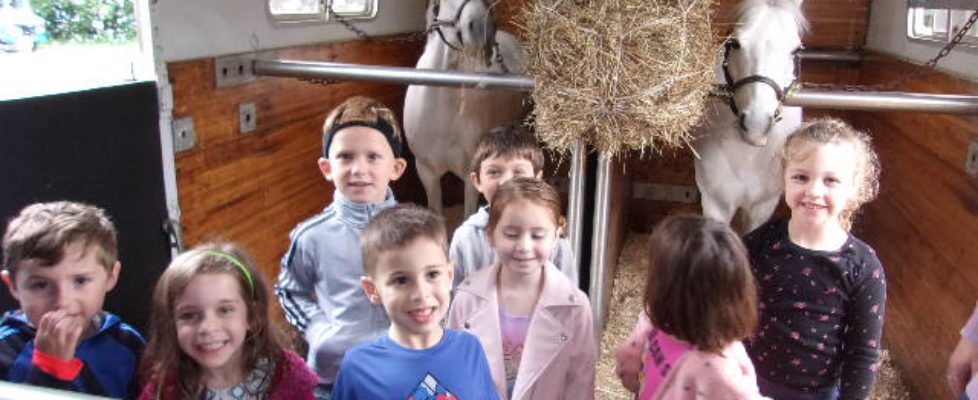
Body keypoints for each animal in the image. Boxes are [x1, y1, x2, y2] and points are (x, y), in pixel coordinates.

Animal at [692, 0, 804, 231]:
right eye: (734, 43)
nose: (756, 125)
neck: (749, 155)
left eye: (796, 50)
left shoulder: (762, 207)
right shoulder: (716, 205)